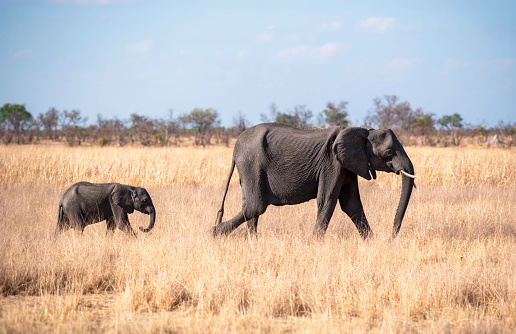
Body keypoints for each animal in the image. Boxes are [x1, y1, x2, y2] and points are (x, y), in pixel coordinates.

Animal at [212, 124, 418, 239]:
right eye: (389, 151)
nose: (391, 238)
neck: (363, 131)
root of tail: (235, 148)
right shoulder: (332, 163)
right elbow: (327, 200)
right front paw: (314, 243)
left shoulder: (347, 165)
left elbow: (352, 205)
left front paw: (371, 242)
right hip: (251, 163)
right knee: (255, 206)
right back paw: (215, 233)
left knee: (251, 207)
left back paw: (251, 241)